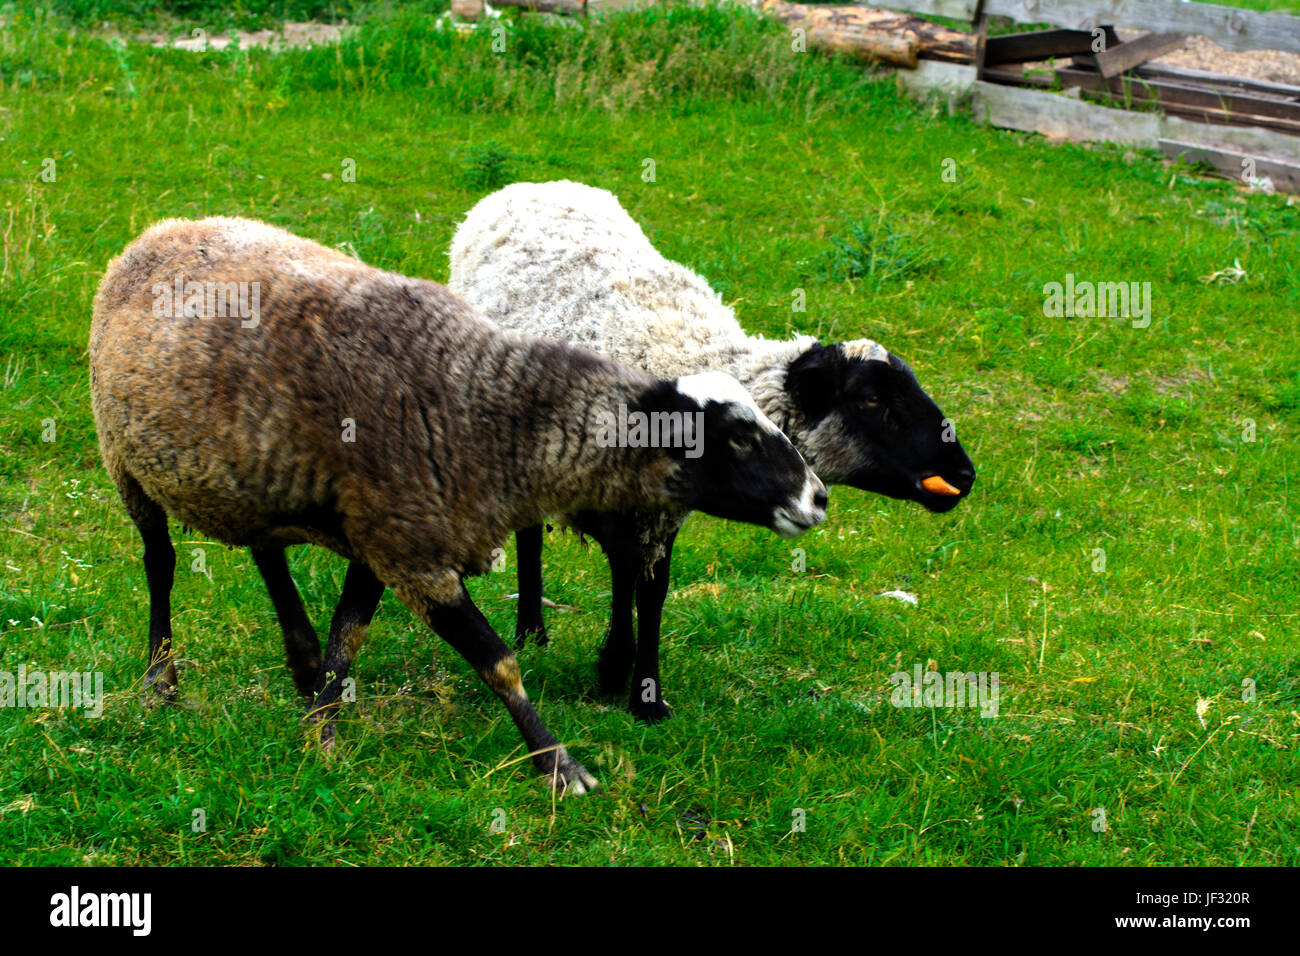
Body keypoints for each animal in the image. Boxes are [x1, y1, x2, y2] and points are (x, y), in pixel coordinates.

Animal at [89, 215, 826, 794]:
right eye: (735, 437)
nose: (817, 498)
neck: (476, 398)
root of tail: (157, 233)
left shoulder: (386, 535)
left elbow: (349, 633)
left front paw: (320, 723)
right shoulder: (409, 550)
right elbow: (497, 660)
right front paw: (559, 766)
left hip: (251, 479)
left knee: (267, 555)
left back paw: (298, 663)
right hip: (123, 460)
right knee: (160, 564)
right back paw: (160, 681)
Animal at [448, 180, 976, 723]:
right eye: (871, 399)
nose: (964, 474)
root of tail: (532, 185)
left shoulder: (661, 514)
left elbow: (651, 590)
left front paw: (641, 690)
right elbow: (627, 574)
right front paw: (619, 670)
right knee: (530, 535)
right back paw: (531, 631)